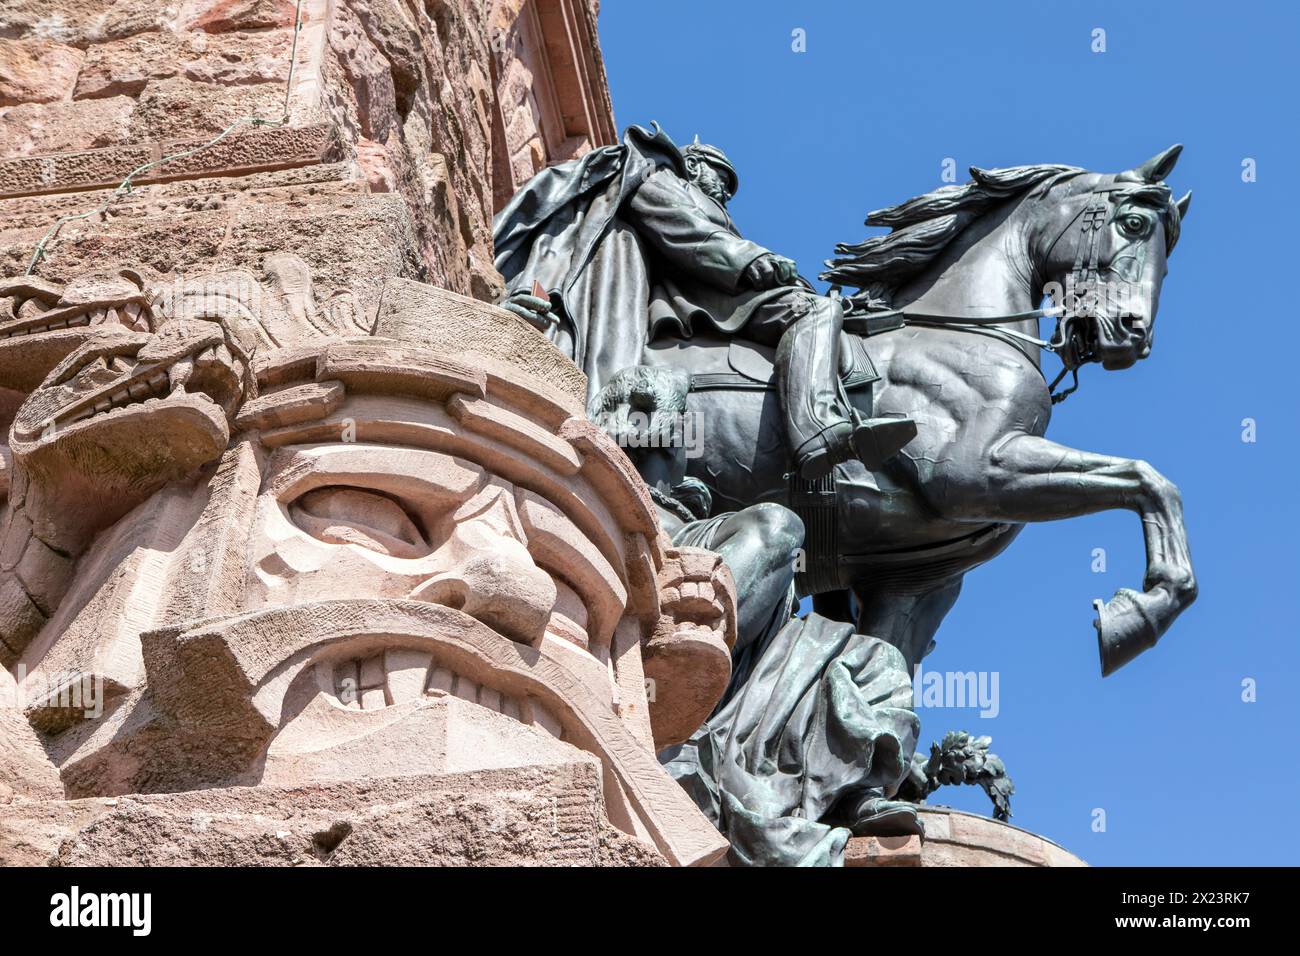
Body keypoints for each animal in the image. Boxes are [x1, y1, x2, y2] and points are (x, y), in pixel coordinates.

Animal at [608, 145, 1196, 676]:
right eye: (1134, 223)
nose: (1133, 335)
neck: (956, 327)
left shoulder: (916, 581)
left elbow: (887, 664)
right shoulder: (977, 472)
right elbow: (1148, 480)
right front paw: (1142, 610)